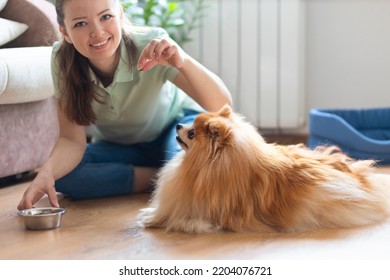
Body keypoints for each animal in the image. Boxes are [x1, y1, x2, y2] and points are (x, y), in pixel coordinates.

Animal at [138, 104, 390, 233]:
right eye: (189, 125)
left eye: (191, 133)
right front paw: (150, 213)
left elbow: (179, 217)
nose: (178, 125)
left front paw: (153, 219)